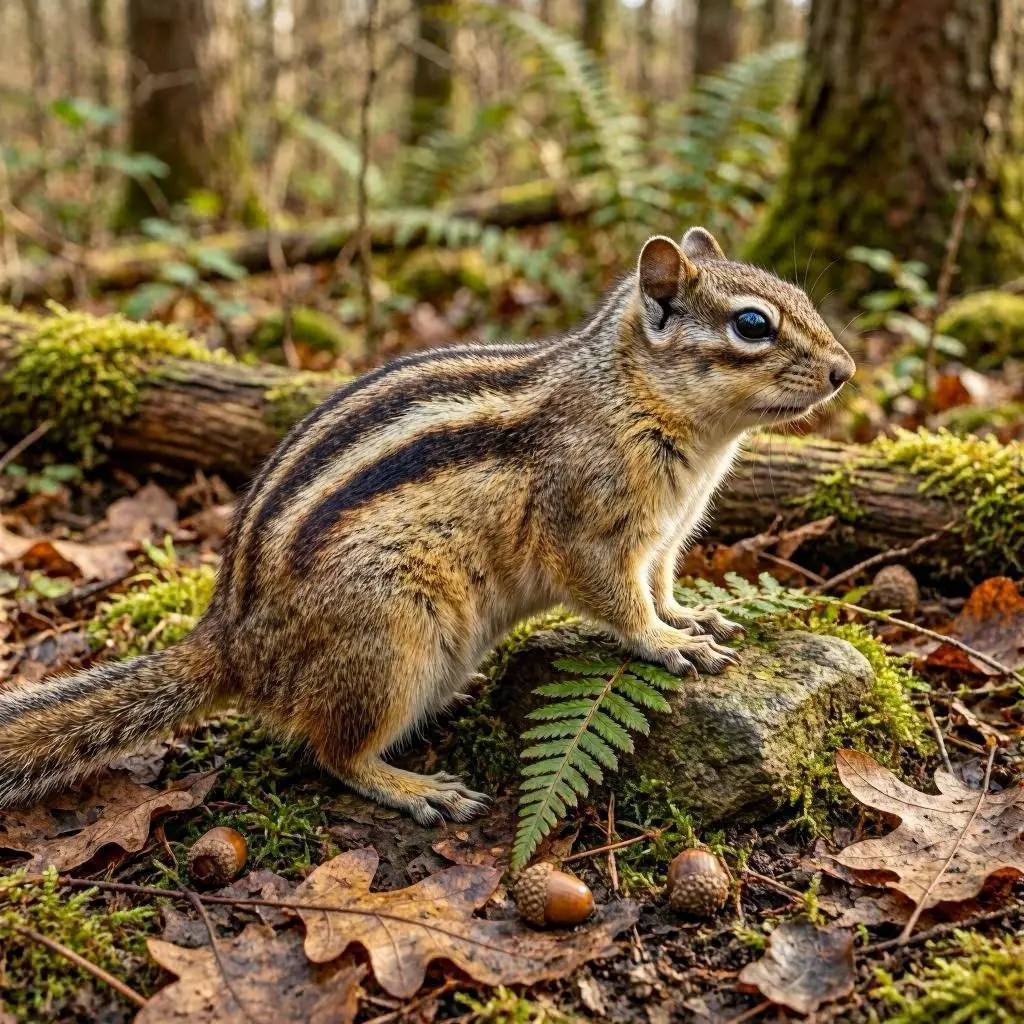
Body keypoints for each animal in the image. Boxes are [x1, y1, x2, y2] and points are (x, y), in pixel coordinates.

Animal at [0, 228, 854, 825]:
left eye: (799, 296)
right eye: (752, 324)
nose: (846, 370)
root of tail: (233, 644)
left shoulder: (668, 535)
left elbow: (663, 583)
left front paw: (691, 616)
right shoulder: (585, 525)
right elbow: (617, 600)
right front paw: (666, 642)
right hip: (392, 635)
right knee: (331, 752)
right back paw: (412, 787)